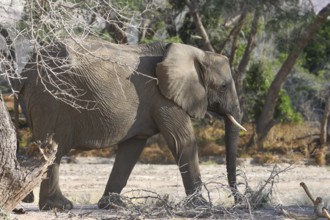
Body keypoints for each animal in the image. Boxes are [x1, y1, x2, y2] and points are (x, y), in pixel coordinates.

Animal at [12, 38, 245, 211]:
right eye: (223, 86)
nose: (239, 201)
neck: (195, 52)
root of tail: (25, 73)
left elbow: (132, 149)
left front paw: (113, 206)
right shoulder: (163, 96)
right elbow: (182, 141)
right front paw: (203, 206)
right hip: (52, 99)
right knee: (53, 150)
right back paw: (59, 207)